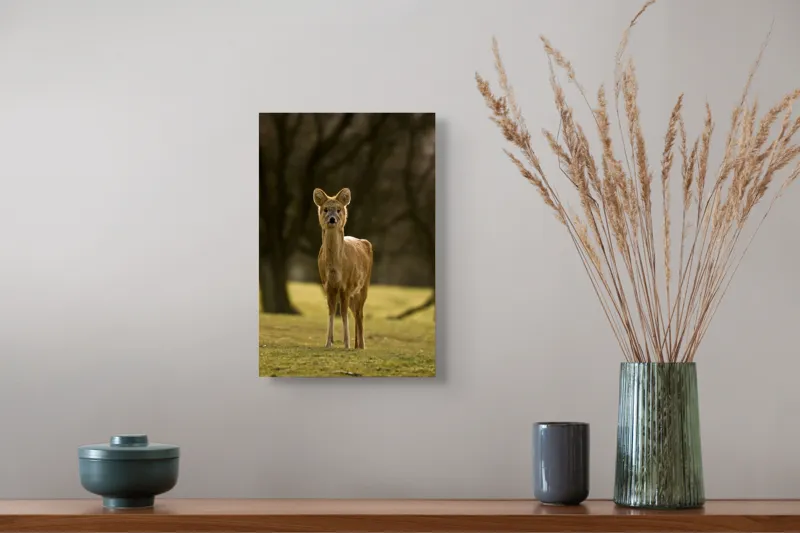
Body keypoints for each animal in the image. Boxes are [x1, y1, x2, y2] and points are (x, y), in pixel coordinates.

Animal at [313, 187, 373, 349]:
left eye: (339, 209)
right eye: (325, 209)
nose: (332, 219)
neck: (336, 268)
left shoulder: (346, 285)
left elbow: (344, 314)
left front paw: (346, 344)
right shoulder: (327, 285)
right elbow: (332, 312)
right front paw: (328, 343)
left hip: (364, 285)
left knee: (359, 313)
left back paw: (361, 346)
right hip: (353, 293)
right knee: (355, 312)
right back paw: (357, 345)